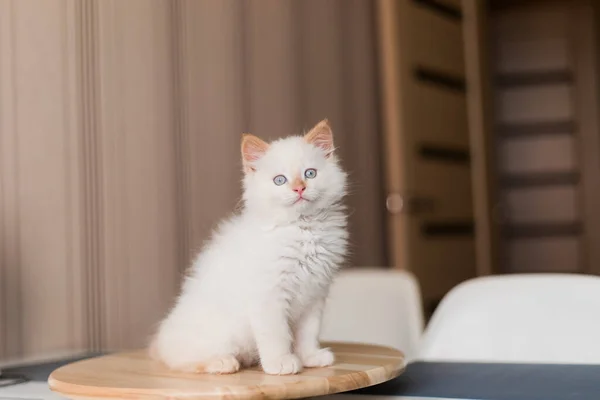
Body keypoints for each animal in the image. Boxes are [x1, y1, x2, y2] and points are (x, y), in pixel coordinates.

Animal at [150, 119, 350, 376]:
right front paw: (281, 363)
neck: (303, 228)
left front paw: (310, 357)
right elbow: (276, 335)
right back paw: (223, 362)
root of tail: (161, 339)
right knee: (182, 360)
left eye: (310, 173)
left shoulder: (315, 294)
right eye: (280, 180)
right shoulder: (268, 295)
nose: (299, 189)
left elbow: (308, 333)